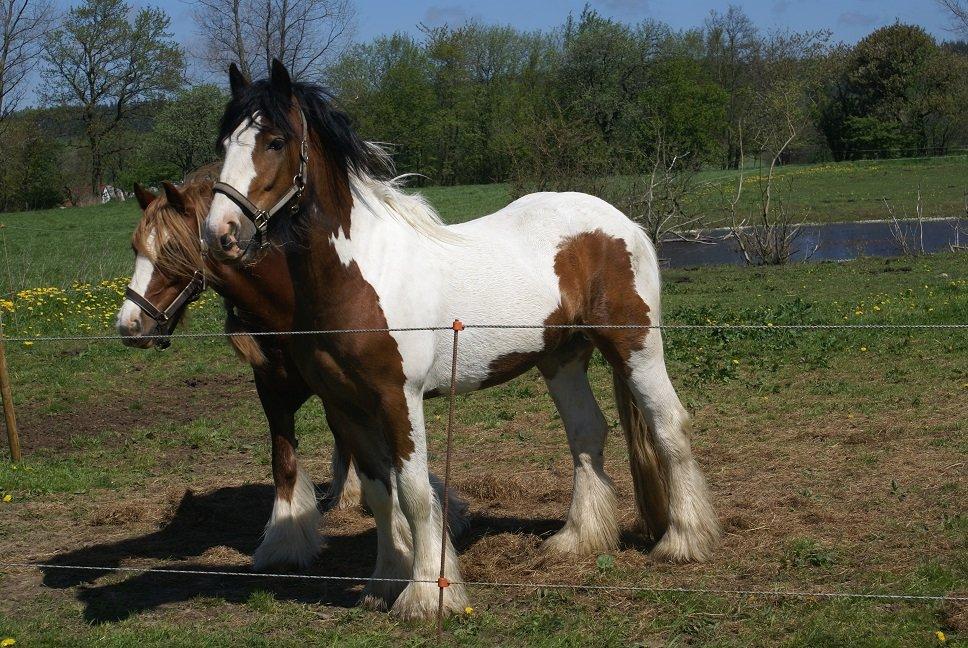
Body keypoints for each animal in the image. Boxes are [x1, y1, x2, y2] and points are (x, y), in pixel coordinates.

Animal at [204, 62, 720, 624]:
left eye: (275, 141)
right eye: (223, 142)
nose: (220, 234)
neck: (361, 274)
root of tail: (623, 223)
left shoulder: (398, 399)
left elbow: (412, 493)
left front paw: (427, 595)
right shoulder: (345, 406)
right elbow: (378, 494)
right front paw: (384, 582)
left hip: (636, 347)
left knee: (669, 426)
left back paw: (684, 541)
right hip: (561, 358)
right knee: (587, 433)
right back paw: (578, 540)